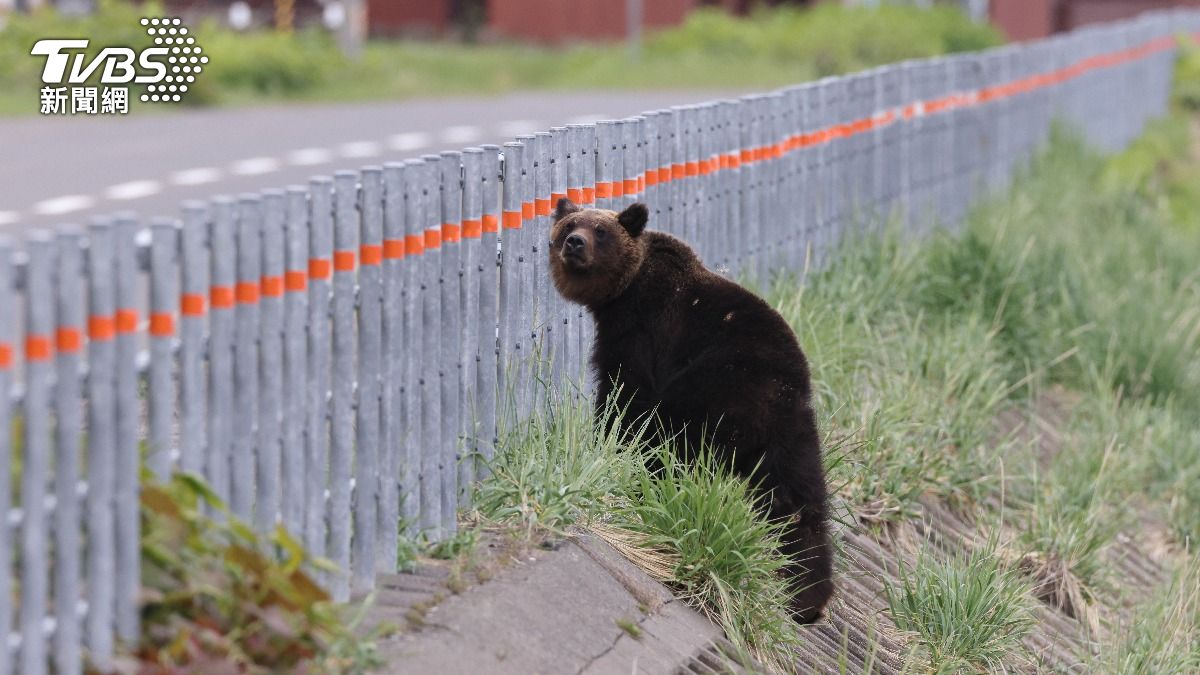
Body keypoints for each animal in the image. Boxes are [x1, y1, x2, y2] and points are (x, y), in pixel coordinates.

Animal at [548, 198, 834, 624]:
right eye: (569, 224)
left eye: (600, 230)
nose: (574, 243)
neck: (621, 293)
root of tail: (776, 399)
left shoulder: (643, 330)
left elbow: (624, 395)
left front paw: (605, 441)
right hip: (795, 436)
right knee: (801, 503)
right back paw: (806, 598)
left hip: (712, 394)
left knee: (673, 444)